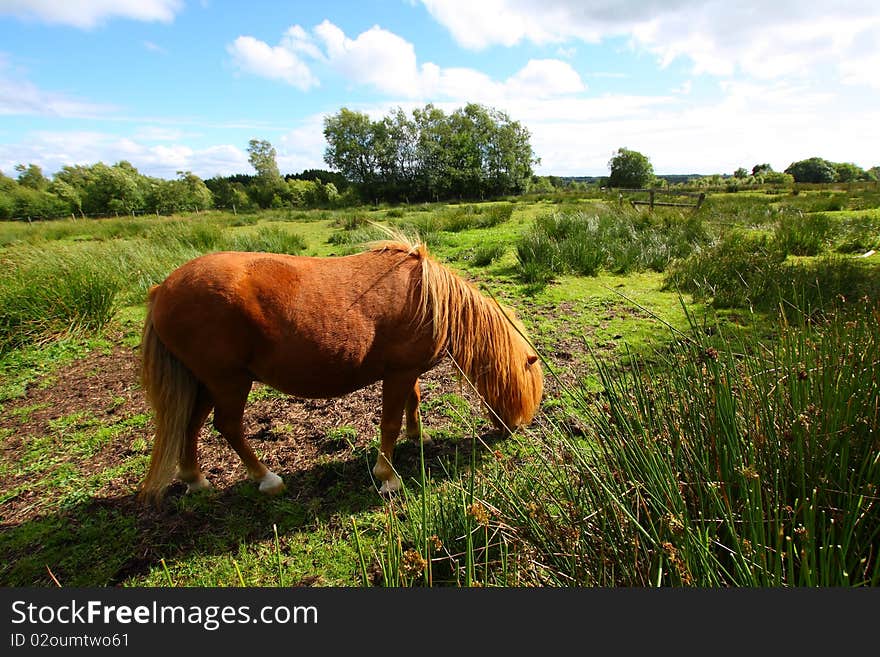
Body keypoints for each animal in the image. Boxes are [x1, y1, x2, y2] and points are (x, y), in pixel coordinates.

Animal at [138, 236, 540, 502]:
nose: (514, 428)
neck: (430, 299)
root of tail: (162, 289)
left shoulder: (407, 371)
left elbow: (414, 401)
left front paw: (418, 436)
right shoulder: (397, 372)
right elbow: (390, 422)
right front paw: (388, 476)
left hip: (203, 382)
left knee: (190, 425)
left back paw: (195, 479)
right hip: (227, 382)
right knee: (228, 426)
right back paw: (267, 479)